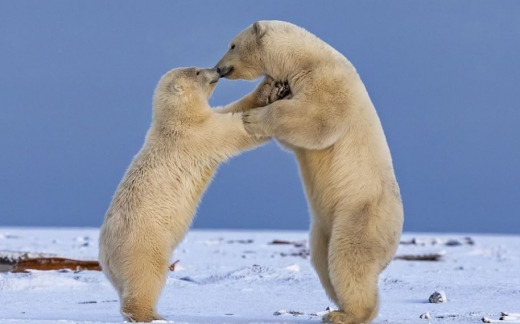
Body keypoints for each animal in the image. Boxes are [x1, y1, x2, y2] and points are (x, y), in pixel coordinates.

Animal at [98, 66, 284, 322]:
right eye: (197, 71)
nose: (217, 69)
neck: (174, 121)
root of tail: (104, 256)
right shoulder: (197, 135)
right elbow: (236, 129)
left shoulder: (203, 121)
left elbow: (232, 108)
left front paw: (269, 89)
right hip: (143, 243)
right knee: (147, 276)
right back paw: (152, 315)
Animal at [215, 21, 402, 322]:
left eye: (232, 45)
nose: (219, 68)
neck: (306, 59)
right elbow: (294, 138)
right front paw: (268, 90)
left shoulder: (329, 83)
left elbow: (316, 120)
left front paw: (254, 118)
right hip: (323, 227)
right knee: (323, 259)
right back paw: (337, 306)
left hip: (361, 214)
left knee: (349, 259)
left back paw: (345, 314)